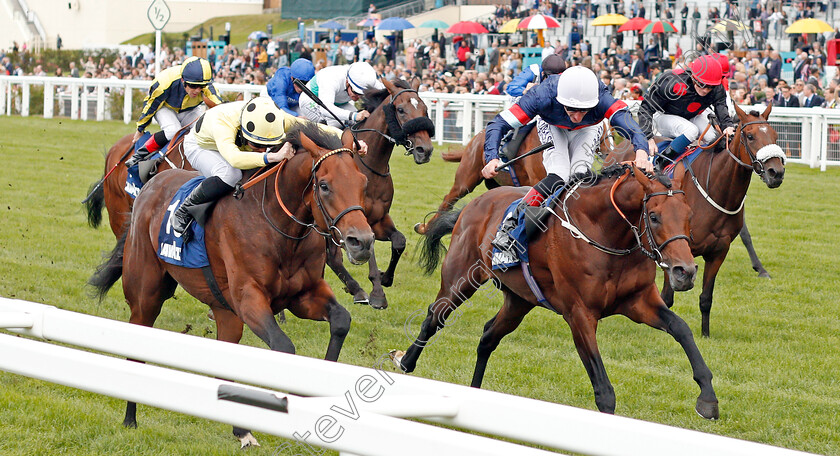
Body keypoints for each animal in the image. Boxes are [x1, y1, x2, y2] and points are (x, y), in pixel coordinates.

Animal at [89, 123, 374, 448]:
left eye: (363, 182)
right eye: (324, 185)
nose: (362, 242)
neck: (277, 225)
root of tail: (150, 186)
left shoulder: (304, 294)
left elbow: (341, 320)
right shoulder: (249, 298)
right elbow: (284, 347)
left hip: (224, 310)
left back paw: (241, 431)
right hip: (145, 296)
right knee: (136, 346)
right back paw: (130, 418)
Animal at [324, 77, 434, 310]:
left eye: (425, 109)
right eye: (400, 110)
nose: (425, 150)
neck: (370, 164)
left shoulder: (379, 218)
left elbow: (399, 241)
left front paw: (385, 278)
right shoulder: (358, 221)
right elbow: (369, 246)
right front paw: (377, 293)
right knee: (332, 256)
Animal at [390, 165, 720, 420]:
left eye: (689, 213)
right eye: (653, 216)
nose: (685, 271)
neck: (606, 235)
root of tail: (476, 202)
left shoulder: (639, 301)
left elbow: (681, 328)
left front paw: (708, 399)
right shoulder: (579, 315)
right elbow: (604, 390)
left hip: (519, 301)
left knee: (487, 336)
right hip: (460, 279)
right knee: (434, 317)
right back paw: (405, 361)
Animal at [608, 104, 784, 338]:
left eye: (775, 135)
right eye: (750, 136)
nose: (776, 172)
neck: (716, 189)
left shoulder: (718, 251)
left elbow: (706, 298)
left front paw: (705, 334)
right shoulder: (673, 249)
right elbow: (666, 298)